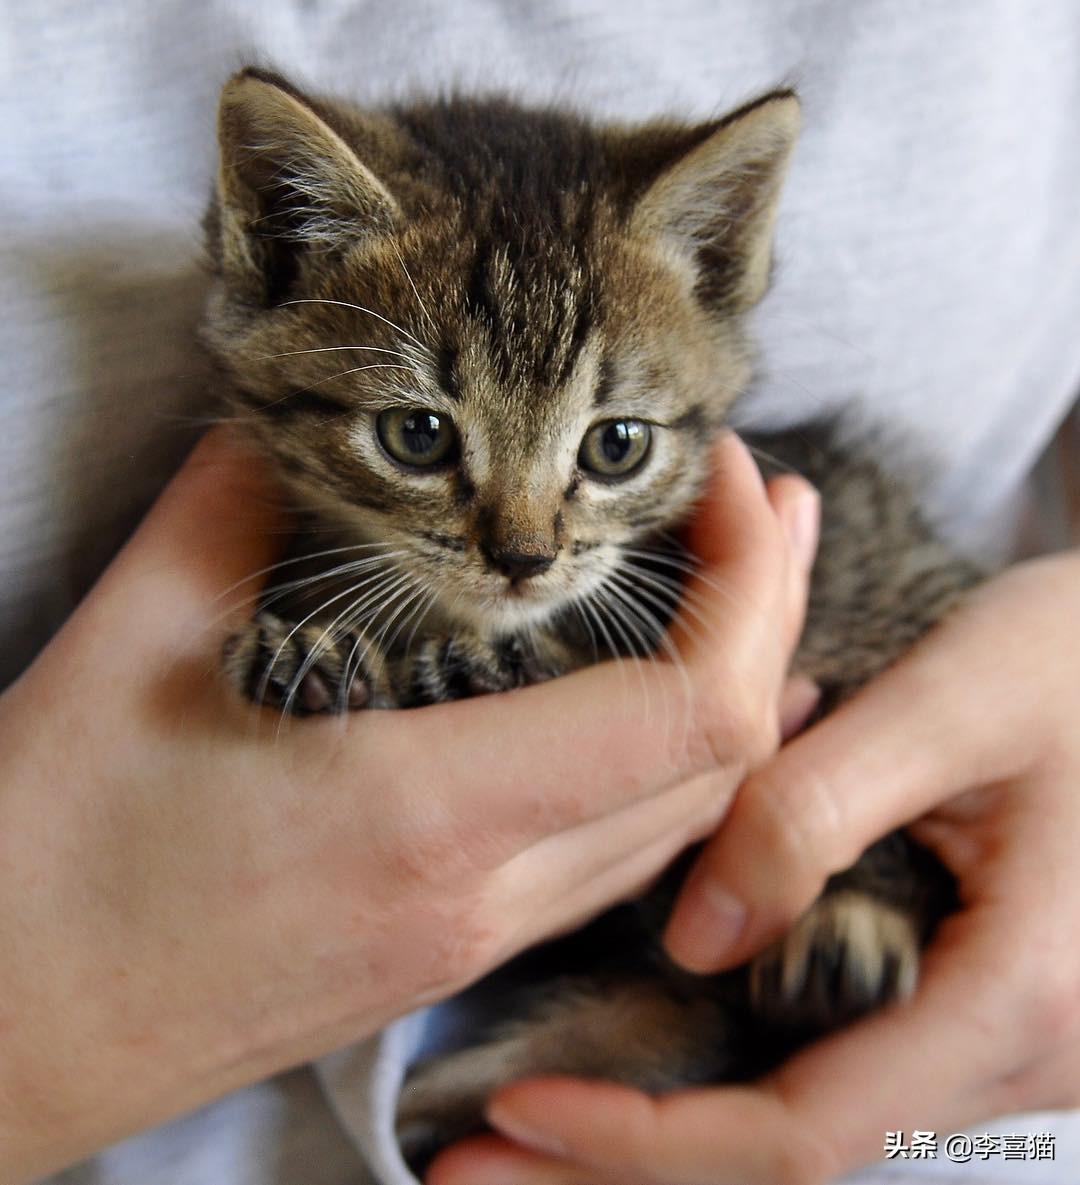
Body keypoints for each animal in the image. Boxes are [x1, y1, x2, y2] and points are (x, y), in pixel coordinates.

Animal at [200, 69, 981, 1170]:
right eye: (416, 434)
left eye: (617, 445)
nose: (523, 558)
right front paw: (312, 652)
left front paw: (486, 663)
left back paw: (847, 937)